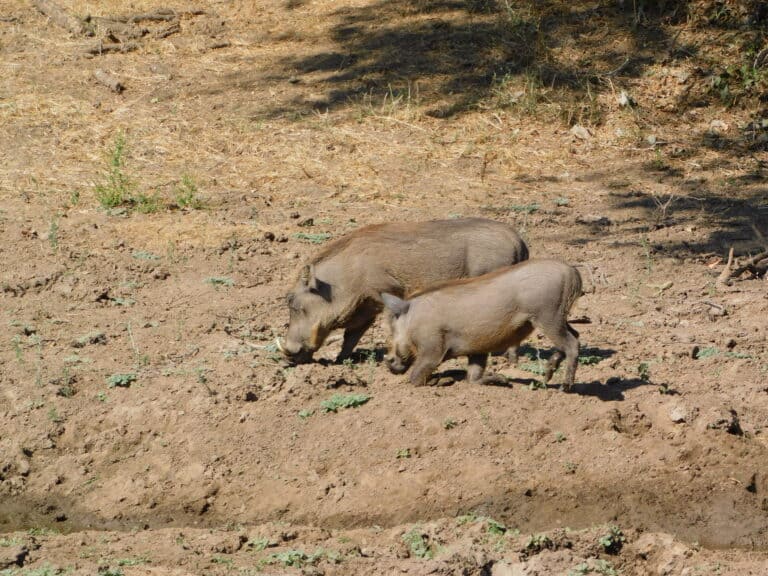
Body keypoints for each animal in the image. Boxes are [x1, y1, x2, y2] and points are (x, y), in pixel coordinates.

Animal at [278, 218, 529, 364]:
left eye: (292, 303)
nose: (289, 357)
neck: (343, 279)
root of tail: (517, 239)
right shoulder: (365, 307)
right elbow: (351, 336)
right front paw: (340, 362)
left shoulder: (386, 295)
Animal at [381, 259, 583, 390]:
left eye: (393, 327)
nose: (390, 366)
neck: (412, 319)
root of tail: (570, 271)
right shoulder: (478, 349)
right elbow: (472, 377)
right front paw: (502, 380)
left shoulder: (431, 351)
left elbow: (415, 378)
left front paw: (442, 381)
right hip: (558, 318)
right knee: (574, 337)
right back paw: (547, 376)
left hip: (548, 318)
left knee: (572, 344)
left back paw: (565, 386)